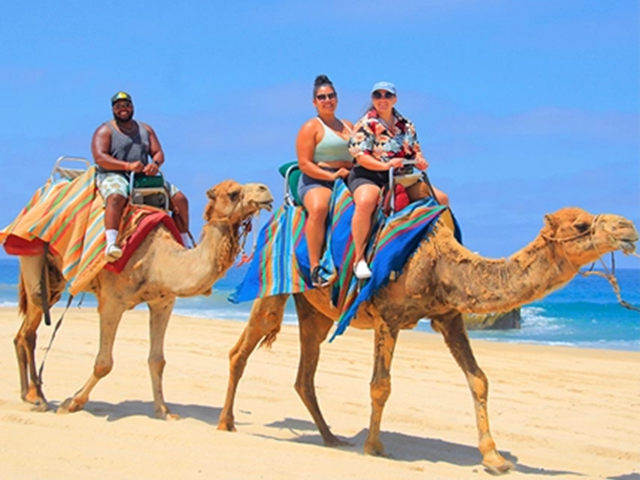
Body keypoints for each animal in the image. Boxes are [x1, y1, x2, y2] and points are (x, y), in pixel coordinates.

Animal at [14, 179, 273, 419]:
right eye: (233, 193)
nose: (265, 190)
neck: (157, 259)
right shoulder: (112, 302)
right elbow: (104, 363)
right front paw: (72, 402)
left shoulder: (163, 303)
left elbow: (157, 360)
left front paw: (164, 411)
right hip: (33, 255)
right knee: (32, 317)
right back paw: (37, 398)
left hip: (54, 279)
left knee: (26, 330)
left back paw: (30, 395)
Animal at [216, 207, 638, 474]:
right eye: (581, 225)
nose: (628, 227)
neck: (441, 262)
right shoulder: (388, 315)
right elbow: (381, 385)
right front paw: (375, 447)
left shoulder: (449, 317)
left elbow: (479, 379)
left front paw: (494, 458)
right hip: (273, 285)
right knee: (241, 350)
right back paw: (225, 424)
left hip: (315, 310)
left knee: (305, 372)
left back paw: (332, 438)